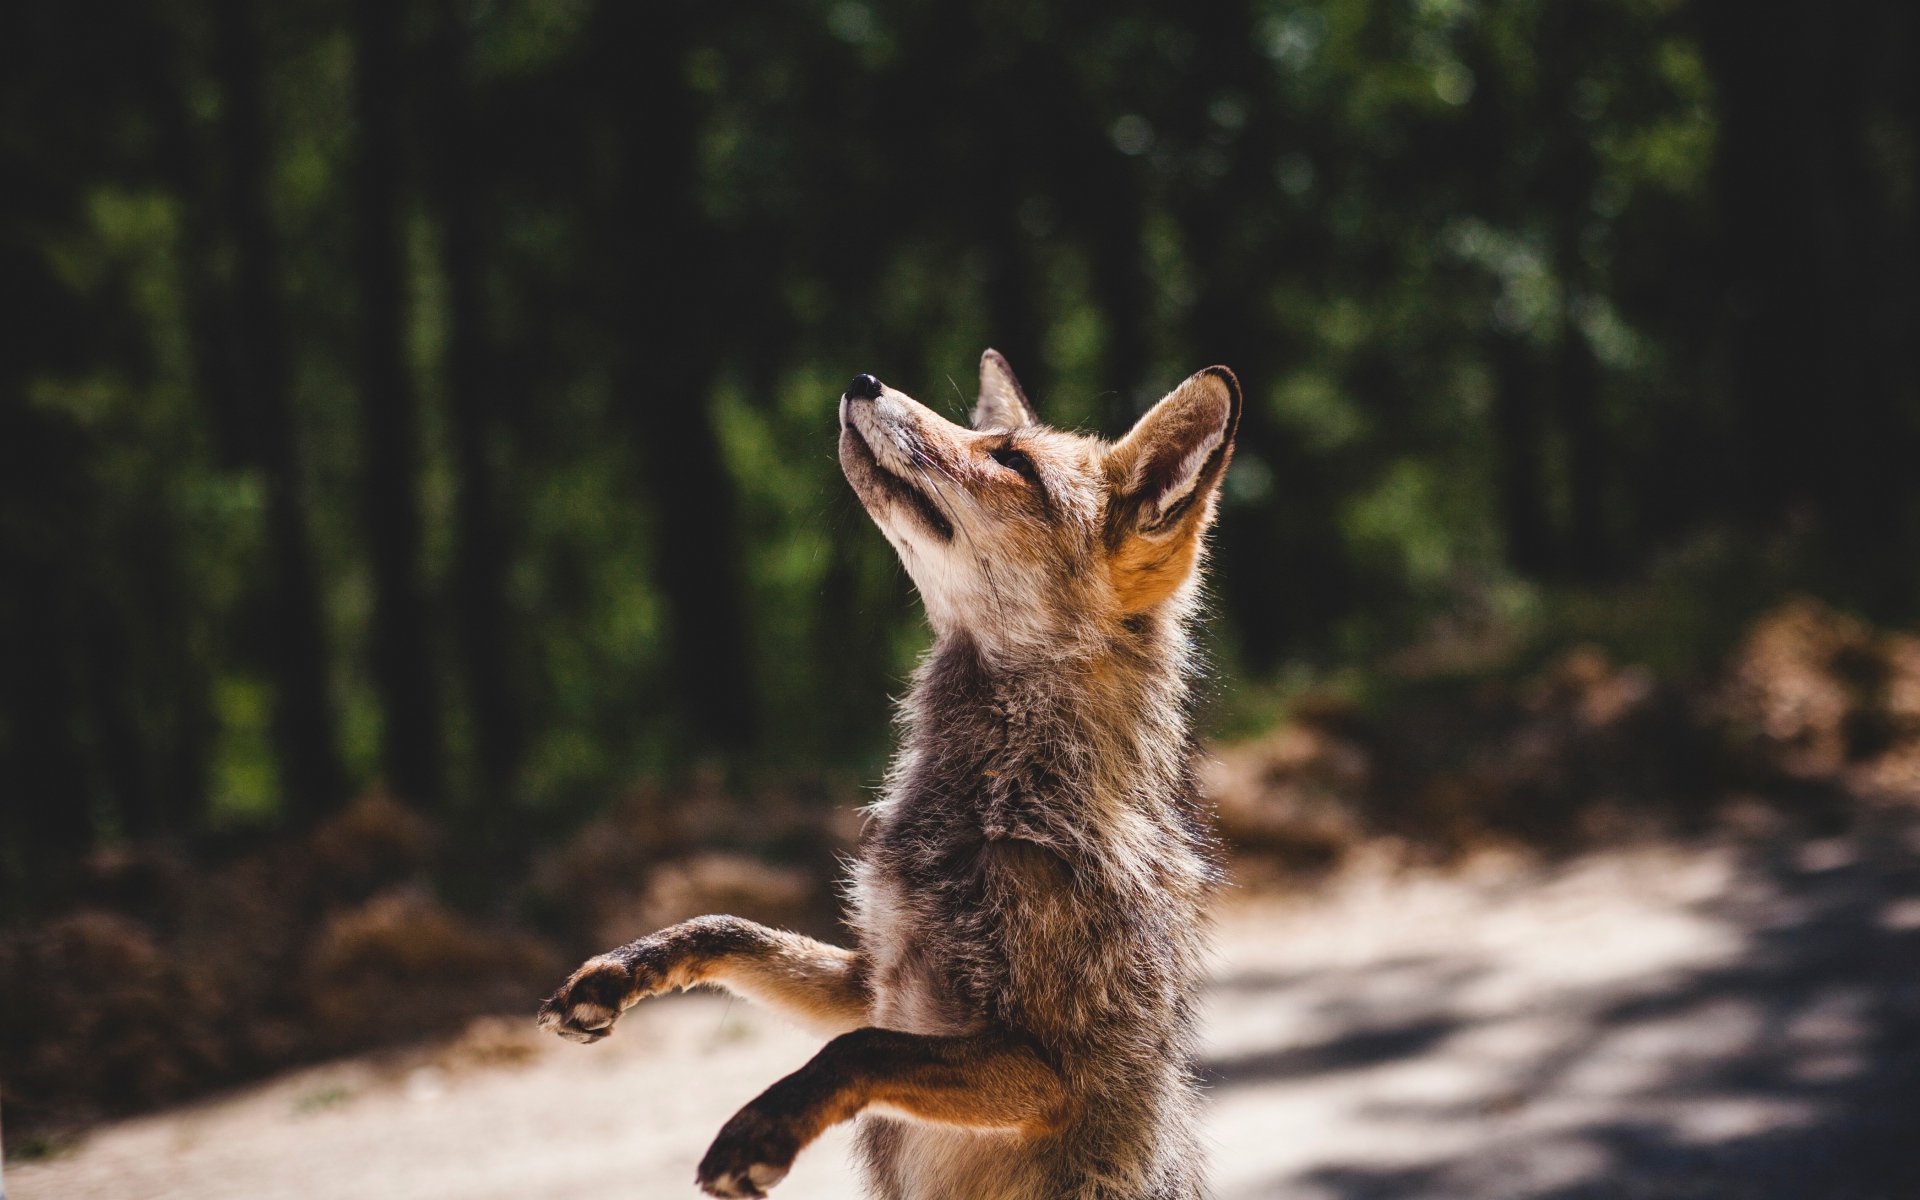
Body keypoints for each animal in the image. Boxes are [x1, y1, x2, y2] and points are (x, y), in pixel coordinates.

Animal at [538, 349, 1241, 1200]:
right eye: (987, 437)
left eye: (1012, 462)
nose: (862, 382)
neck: (998, 809)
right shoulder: (873, 984)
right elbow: (731, 928)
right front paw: (621, 970)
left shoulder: (1049, 1072)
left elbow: (857, 1050)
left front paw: (763, 1129)